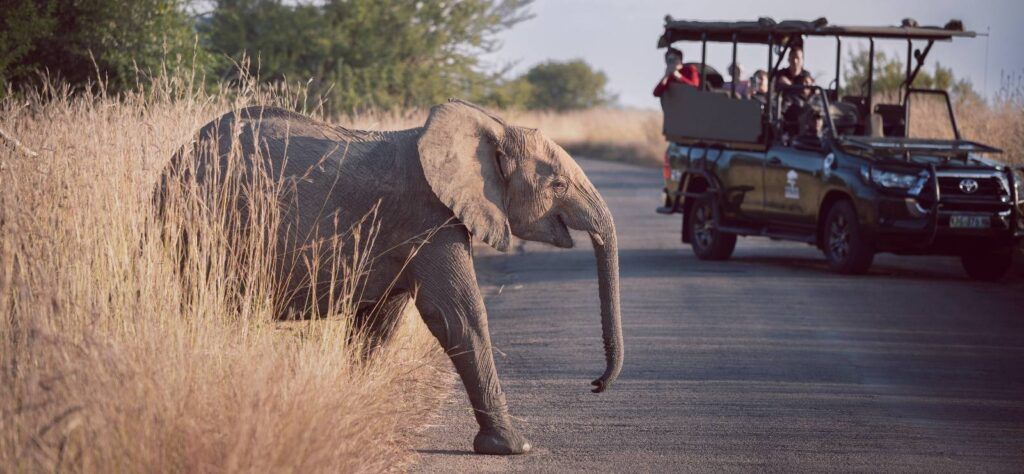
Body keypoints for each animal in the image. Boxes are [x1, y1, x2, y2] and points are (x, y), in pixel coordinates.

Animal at [162, 99, 623, 455]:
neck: (488, 127)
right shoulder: (429, 217)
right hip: (203, 225)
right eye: (559, 185)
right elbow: (457, 315)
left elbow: (379, 321)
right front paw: (513, 448)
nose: (596, 385)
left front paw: (352, 409)